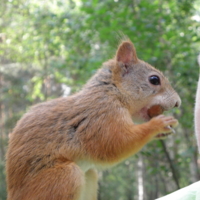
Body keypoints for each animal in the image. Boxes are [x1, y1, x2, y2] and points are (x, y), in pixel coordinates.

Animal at [5, 39, 181, 200]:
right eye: (154, 80)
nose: (178, 102)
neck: (112, 92)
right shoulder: (100, 116)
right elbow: (115, 142)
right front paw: (157, 125)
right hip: (62, 178)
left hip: (89, 176)